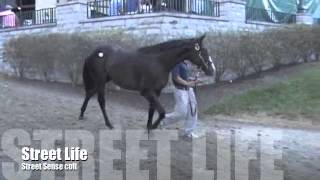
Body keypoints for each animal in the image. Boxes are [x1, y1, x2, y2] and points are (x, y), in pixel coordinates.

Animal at [79, 35, 215, 130]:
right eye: (203, 51)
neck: (159, 62)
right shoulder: (146, 92)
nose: (212, 70)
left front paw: (149, 127)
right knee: (101, 101)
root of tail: (93, 53)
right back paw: (108, 124)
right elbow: (162, 112)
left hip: (103, 80)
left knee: (90, 93)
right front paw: (154, 126)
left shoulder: (156, 91)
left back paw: (81, 114)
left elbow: (152, 109)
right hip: (101, 81)